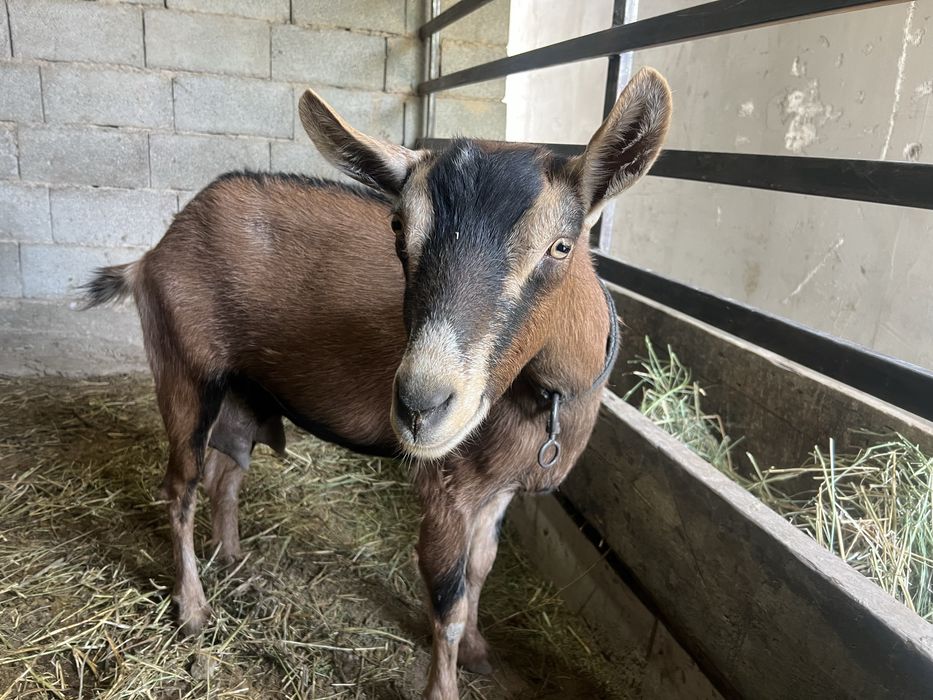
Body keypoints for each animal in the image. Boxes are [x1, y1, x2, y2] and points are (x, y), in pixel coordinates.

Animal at [84, 67, 672, 699]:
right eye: (398, 231)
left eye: (560, 246)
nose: (420, 407)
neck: (552, 393)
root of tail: (151, 256)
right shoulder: (448, 487)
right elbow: (449, 600)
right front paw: (444, 686)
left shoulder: (499, 490)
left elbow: (482, 569)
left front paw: (480, 653)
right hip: (185, 373)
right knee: (181, 485)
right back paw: (193, 610)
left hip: (245, 391)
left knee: (226, 473)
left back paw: (237, 562)